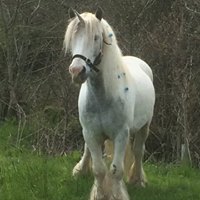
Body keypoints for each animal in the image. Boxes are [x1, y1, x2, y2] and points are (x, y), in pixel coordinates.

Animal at [64, 7, 155, 200]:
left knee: (138, 151)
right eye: (73, 38)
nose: (76, 71)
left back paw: (138, 180)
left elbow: (116, 171)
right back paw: (81, 170)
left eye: (96, 37)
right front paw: (99, 194)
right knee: (88, 150)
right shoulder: (90, 132)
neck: (103, 97)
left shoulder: (121, 134)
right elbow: (99, 170)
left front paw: (116, 194)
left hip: (144, 127)